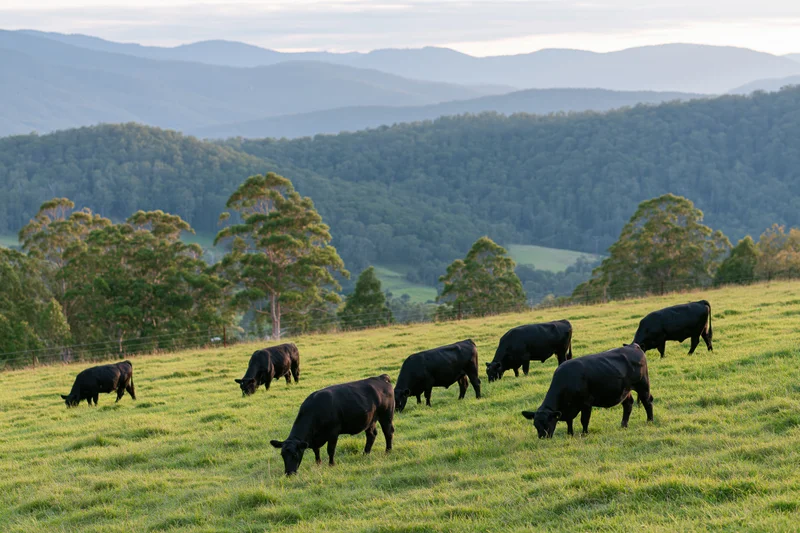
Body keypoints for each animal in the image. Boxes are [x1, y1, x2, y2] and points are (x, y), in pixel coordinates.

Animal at [521, 344, 653, 438]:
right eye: (535, 425)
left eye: (547, 423)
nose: (542, 437)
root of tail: (633, 346)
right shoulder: (569, 408)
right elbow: (569, 421)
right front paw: (570, 434)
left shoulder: (586, 403)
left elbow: (584, 420)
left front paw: (584, 434)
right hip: (625, 390)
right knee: (628, 404)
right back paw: (623, 425)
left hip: (643, 385)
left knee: (647, 401)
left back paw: (650, 421)